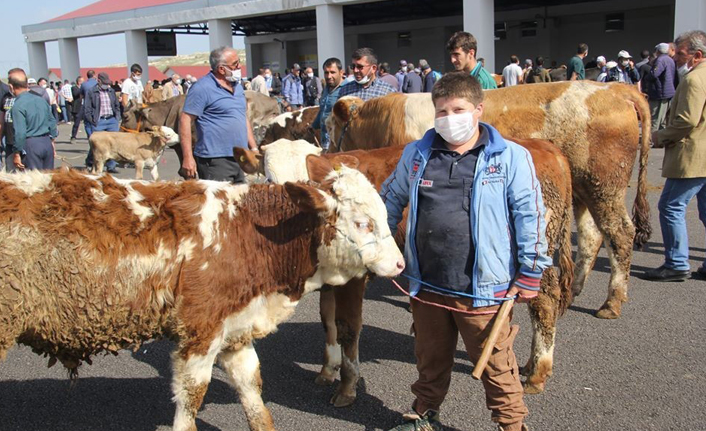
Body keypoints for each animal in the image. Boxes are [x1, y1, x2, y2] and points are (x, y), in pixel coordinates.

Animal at [0, 163, 402, 431]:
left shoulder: (235, 328)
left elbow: (252, 391)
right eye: (363, 223)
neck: (248, 232)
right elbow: (192, 396)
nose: (399, 264)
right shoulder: (200, 329)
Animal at [235, 138, 572, 398]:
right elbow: (327, 321)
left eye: (308, 180)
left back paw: (538, 372)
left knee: (545, 303)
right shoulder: (330, 281)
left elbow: (347, 326)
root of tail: (545, 146)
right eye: (270, 178)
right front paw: (328, 369)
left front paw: (347, 386)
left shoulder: (353, 280)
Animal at [326, 83, 648, 320]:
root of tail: (617, 88)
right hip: (586, 189)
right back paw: (579, 288)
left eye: (329, 126)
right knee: (593, 235)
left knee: (619, 233)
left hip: (605, 186)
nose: (326, 149)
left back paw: (611, 303)